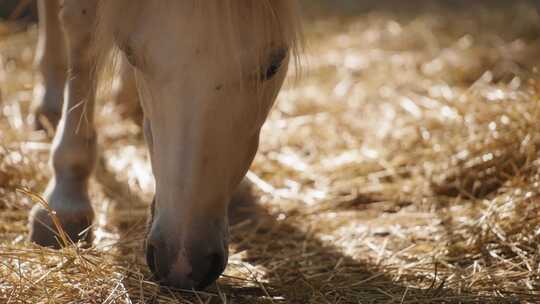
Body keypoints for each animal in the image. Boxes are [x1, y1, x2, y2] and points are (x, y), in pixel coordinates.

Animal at [29, 0, 302, 290]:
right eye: (131, 54)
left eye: (274, 65)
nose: (183, 265)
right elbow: (83, 36)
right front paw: (65, 201)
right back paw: (50, 104)